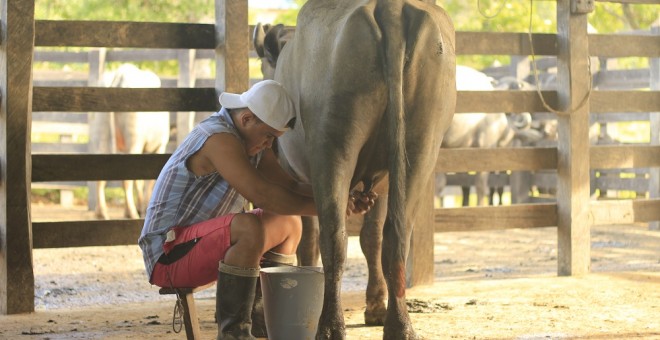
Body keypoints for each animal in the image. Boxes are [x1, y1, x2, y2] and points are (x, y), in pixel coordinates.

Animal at [89, 63, 171, 220]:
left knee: (100, 176)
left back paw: (101, 212)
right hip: (134, 140)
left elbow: (140, 181)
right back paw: (131, 212)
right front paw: (143, 206)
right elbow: (148, 180)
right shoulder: (159, 146)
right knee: (127, 179)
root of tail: (121, 74)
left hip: (101, 134)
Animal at [251, 1, 454, 338]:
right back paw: (398, 324)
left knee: (334, 238)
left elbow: (305, 239)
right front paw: (375, 306)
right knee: (396, 235)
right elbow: (372, 238)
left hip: (333, 141)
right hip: (423, 140)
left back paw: (330, 326)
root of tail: (390, 7)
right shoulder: (382, 186)